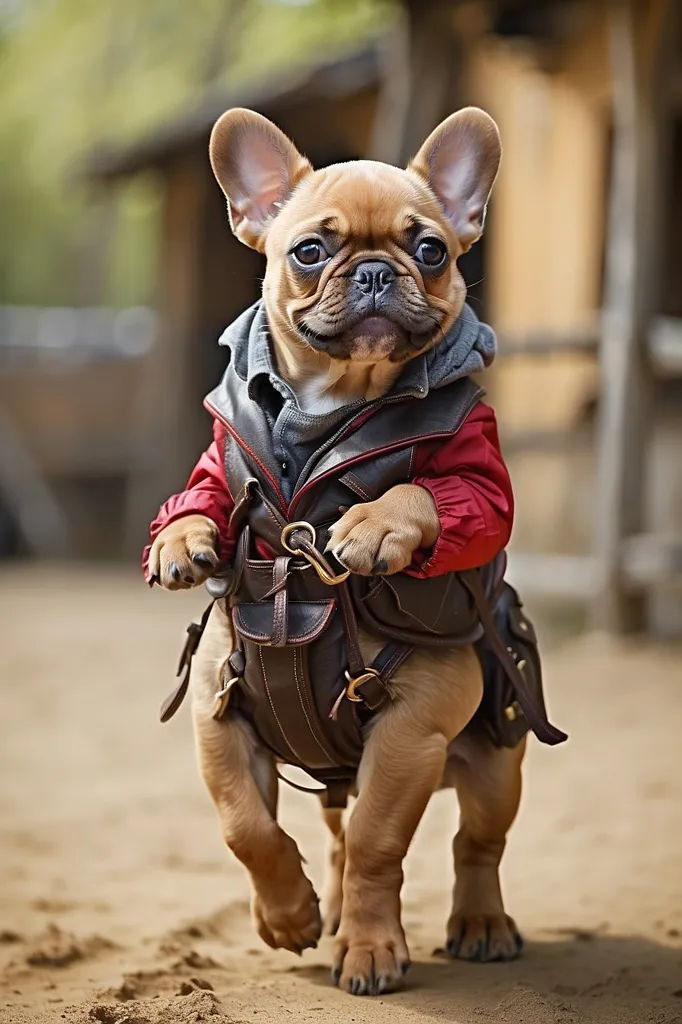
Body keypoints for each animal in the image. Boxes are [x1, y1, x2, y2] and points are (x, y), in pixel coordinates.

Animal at [144, 108, 524, 995]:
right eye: (310, 250)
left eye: (432, 250)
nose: (379, 272)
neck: (332, 404)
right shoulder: (219, 717)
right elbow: (245, 827)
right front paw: (287, 917)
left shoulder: (409, 731)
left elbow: (445, 494)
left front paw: (373, 525)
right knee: (343, 841)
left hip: (495, 763)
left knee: (474, 846)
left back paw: (479, 924)